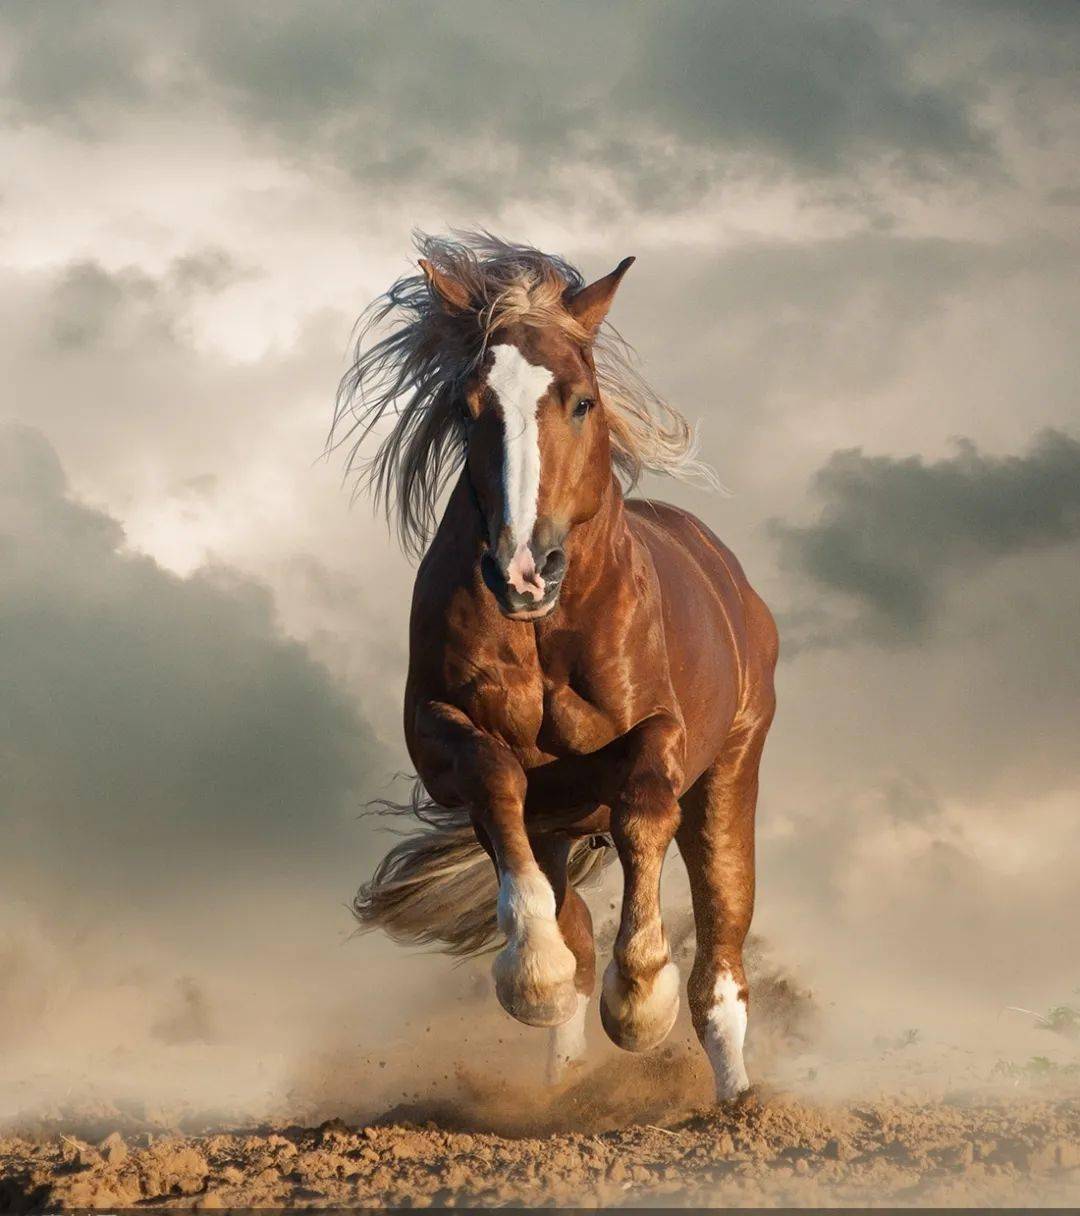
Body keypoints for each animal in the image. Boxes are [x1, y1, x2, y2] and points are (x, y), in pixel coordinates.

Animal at [333, 233, 778, 1102]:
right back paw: (565, 1079)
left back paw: (736, 1099)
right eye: (470, 408)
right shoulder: (442, 737)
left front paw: (638, 1001)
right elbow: (496, 780)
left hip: (731, 774)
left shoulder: (661, 733)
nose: (522, 570)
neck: (547, 631)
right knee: (571, 921)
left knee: (722, 949)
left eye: (581, 401)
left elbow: (644, 806)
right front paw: (531, 975)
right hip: (559, 827)